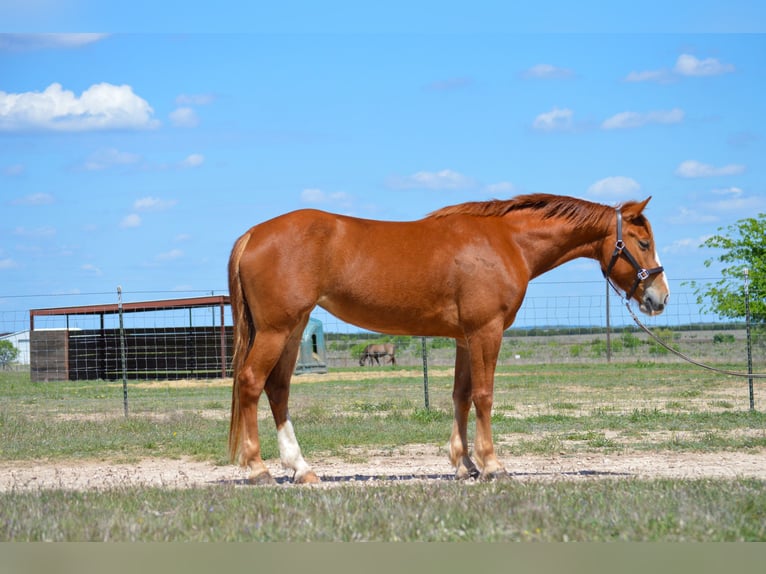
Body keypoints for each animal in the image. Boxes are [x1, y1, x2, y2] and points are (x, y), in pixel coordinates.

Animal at [228, 193, 669, 484]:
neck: (508, 241)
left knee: (278, 389)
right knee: (251, 383)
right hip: (277, 330)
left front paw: (464, 464)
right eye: (643, 243)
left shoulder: (464, 338)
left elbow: (461, 396)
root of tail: (252, 234)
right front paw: (492, 465)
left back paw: (301, 469)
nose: (659, 298)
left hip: (293, 330)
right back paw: (258, 470)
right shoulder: (486, 330)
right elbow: (484, 396)